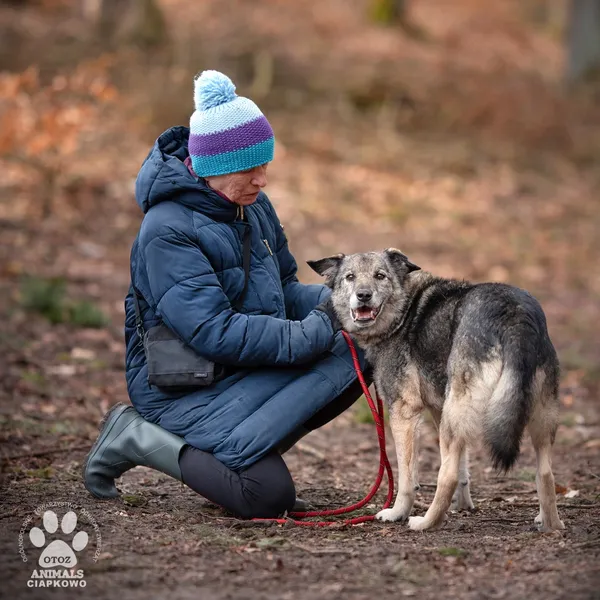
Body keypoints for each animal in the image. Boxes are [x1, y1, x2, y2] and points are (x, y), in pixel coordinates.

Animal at [308, 251, 564, 532]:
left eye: (380, 276)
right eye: (350, 277)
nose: (363, 295)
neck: (403, 312)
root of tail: (514, 315)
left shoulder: (404, 413)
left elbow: (408, 479)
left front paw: (397, 512)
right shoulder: (440, 410)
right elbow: (463, 469)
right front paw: (463, 505)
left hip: (456, 415)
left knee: (446, 475)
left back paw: (426, 522)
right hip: (532, 417)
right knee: (545, 473)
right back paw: (550, 524)